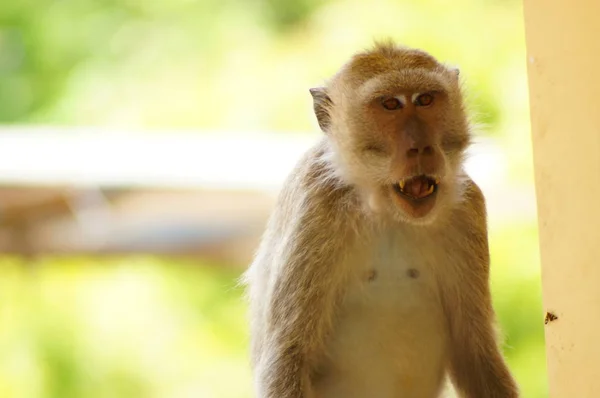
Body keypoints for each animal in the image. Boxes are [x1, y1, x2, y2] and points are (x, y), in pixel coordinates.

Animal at [241, 41, 516, 398]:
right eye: (390, 105)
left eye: (425, 99)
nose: (420, 146)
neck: (388, 213)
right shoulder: (315, 204)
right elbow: (289, 353)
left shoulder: (467, 209)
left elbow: (474, 349)